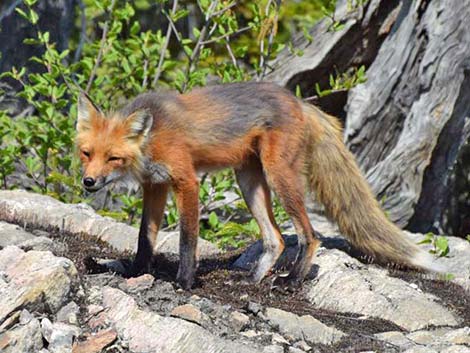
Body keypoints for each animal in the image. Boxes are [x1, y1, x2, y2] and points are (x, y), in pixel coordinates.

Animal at [75, 81, 442, 288]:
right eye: (87, 153)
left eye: (113, 158)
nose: (89, 181)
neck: (154, 137)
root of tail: (301, 102)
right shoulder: (155, 186)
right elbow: (144, 238)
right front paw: (135, 271)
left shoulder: (186, 181)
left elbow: (187, 240)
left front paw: (185, 281)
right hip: (249, 182)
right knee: (275, 239)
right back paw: (252, 279)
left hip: (280, 177)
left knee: (311, 235)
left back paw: (291, 282)